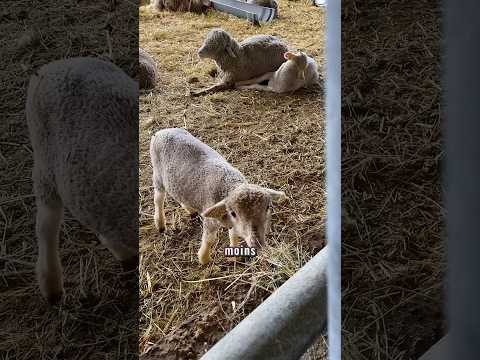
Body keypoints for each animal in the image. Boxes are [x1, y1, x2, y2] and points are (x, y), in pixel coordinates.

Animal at [150, 129, 284, 264]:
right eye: (234, 213)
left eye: (268, 207)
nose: (257, 244)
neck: (230, 184)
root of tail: (162, 131)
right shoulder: (210, 220)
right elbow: (210, 239)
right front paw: (204, 259)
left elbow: (233, 234)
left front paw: (234, 255)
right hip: (157, 175)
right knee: (158, 199)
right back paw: (160, 224)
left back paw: (190, 209)